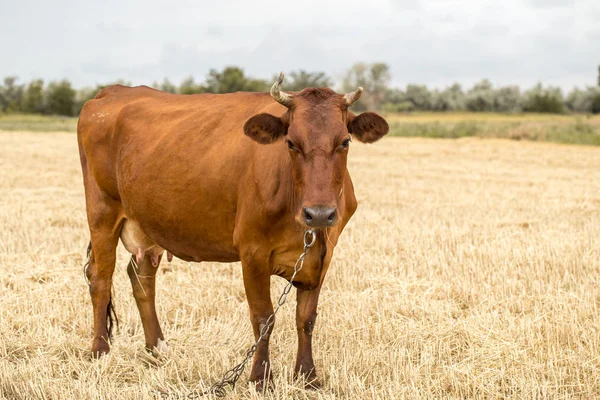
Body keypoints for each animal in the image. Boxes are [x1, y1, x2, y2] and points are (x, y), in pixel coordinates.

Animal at [77, 72, 390, 388]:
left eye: (345, 142)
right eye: (290, 143)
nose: (319, 214)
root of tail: (113, 92)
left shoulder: (322, 255)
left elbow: (306, 318)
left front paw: (307, 375)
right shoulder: (252, 252)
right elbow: (263, 318)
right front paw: (260, 378)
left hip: (146, 223)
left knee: (142, 279)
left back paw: (157, 348)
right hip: (102, 212)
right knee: (100, 278)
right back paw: (100, 350)